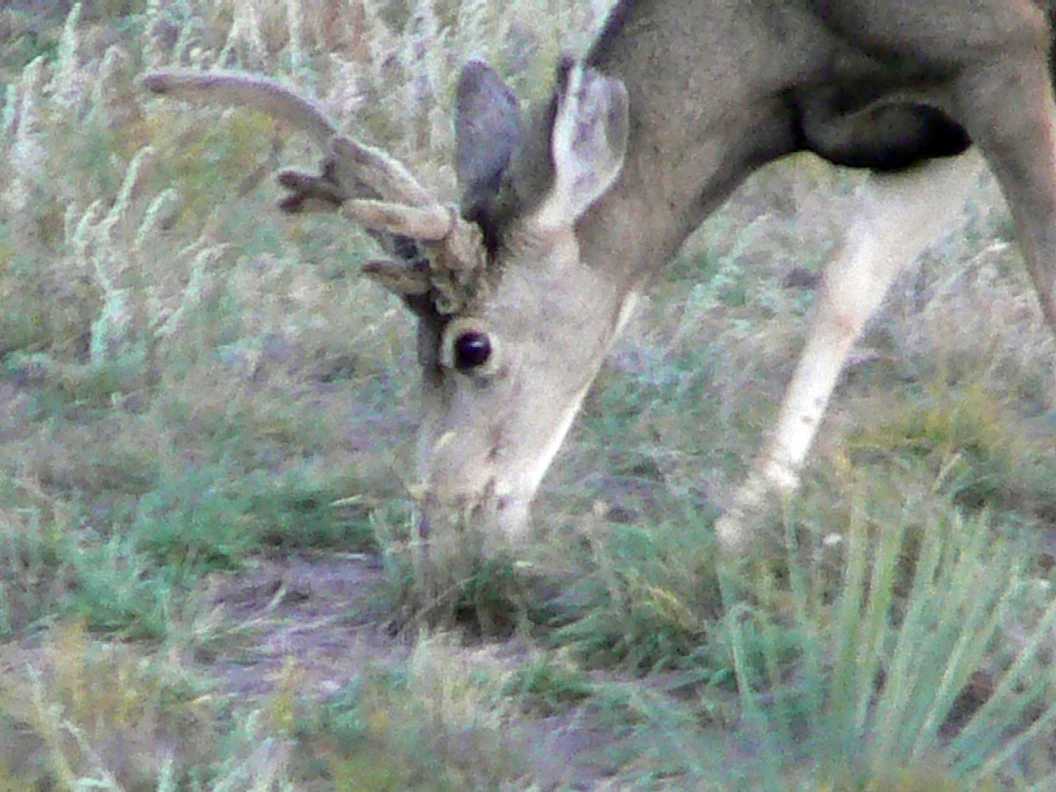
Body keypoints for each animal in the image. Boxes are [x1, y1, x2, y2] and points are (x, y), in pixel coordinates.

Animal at [144, 0, 1056, 553]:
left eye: (471, 346)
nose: (444, 519)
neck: (790, 43)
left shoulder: (1000, 54)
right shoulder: (926, 130)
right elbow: (843, 291)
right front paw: (741, 522)